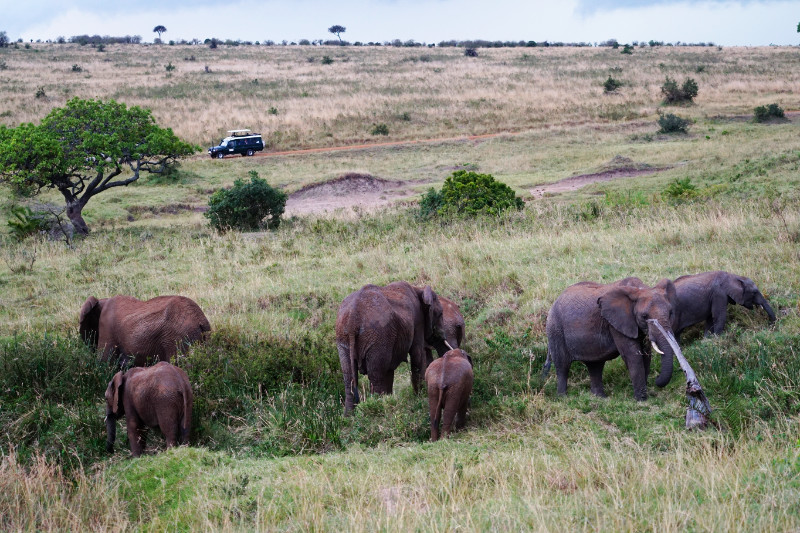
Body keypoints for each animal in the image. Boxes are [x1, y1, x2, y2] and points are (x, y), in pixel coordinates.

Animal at [335, 281, 446, 415]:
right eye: (440, 314)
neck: (419, 289)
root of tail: (353, 319)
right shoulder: (417, 322)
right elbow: (418, 355)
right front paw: (420, 396)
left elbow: (389, 370)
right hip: (378, 336)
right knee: (376, 376)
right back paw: (378, 409)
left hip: (344, 338)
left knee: (350, 378)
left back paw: (350, 415)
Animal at [544, 278, 686, 400]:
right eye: (644, 316)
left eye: (670, 313)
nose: (656, 380)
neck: (639, 289)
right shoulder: (615, 323)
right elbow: (632, 355)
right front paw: (641, 400)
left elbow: (646, 355)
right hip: (555, 329)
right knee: (562, 366)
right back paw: (563, 398)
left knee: (595, 365)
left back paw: (600, 398)